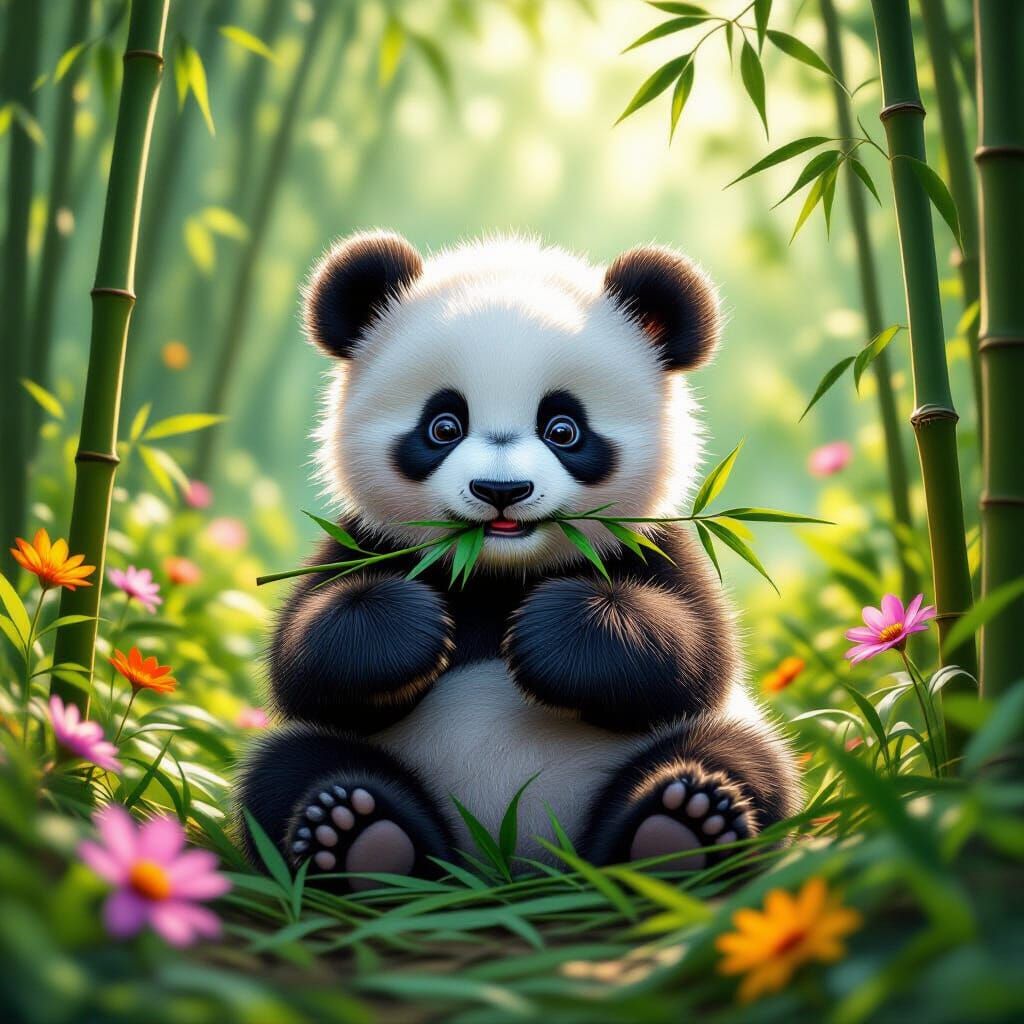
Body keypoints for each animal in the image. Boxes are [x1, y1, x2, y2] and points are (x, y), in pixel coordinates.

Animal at [236, 230, 800, 890]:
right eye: (444, 425)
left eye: (563, 428)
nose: (500, 490)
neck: (497, 571)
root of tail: (515, 861)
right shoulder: (361, 542)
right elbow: (303, 662)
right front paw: (412, 630)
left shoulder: (657, 546)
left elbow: (698, 653)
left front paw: (551, 635)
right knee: (287, 771)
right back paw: (362, 839)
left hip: (712, 745)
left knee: (742, 758)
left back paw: (679, 833)